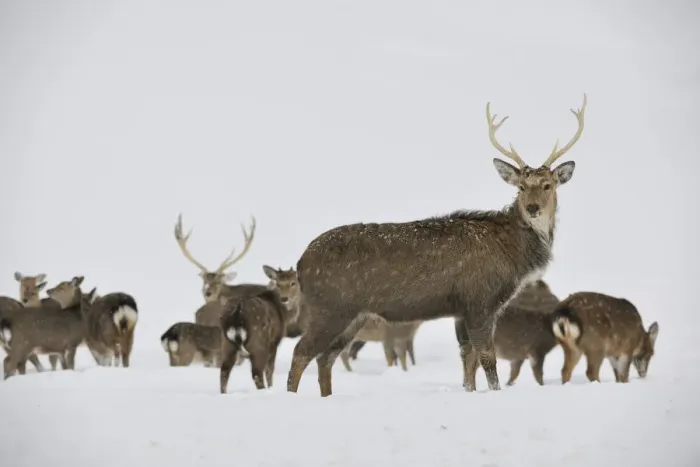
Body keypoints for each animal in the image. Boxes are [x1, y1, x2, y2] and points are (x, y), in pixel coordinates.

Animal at [219, 265, 300, 394]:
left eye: (293, 283)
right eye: (278, 284)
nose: (284, 298)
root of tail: (237, 314)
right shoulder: (274, 342)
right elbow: (270, 370)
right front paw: (271, 387)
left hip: (226, 343)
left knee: (224, 371)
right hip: (258, 344)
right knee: (257, 373)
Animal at [285, 94, 588, 396]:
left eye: (548, 185)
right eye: (521, 187)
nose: (533, 208)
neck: (512, 252)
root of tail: (301, 264)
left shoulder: (463, 309)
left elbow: (468, 360)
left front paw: (469, 390)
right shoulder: (480, 300)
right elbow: (487, 359)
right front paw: (493, 392)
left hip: (354, 315)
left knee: (326, 357)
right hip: (331, 307)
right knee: (302, 352)